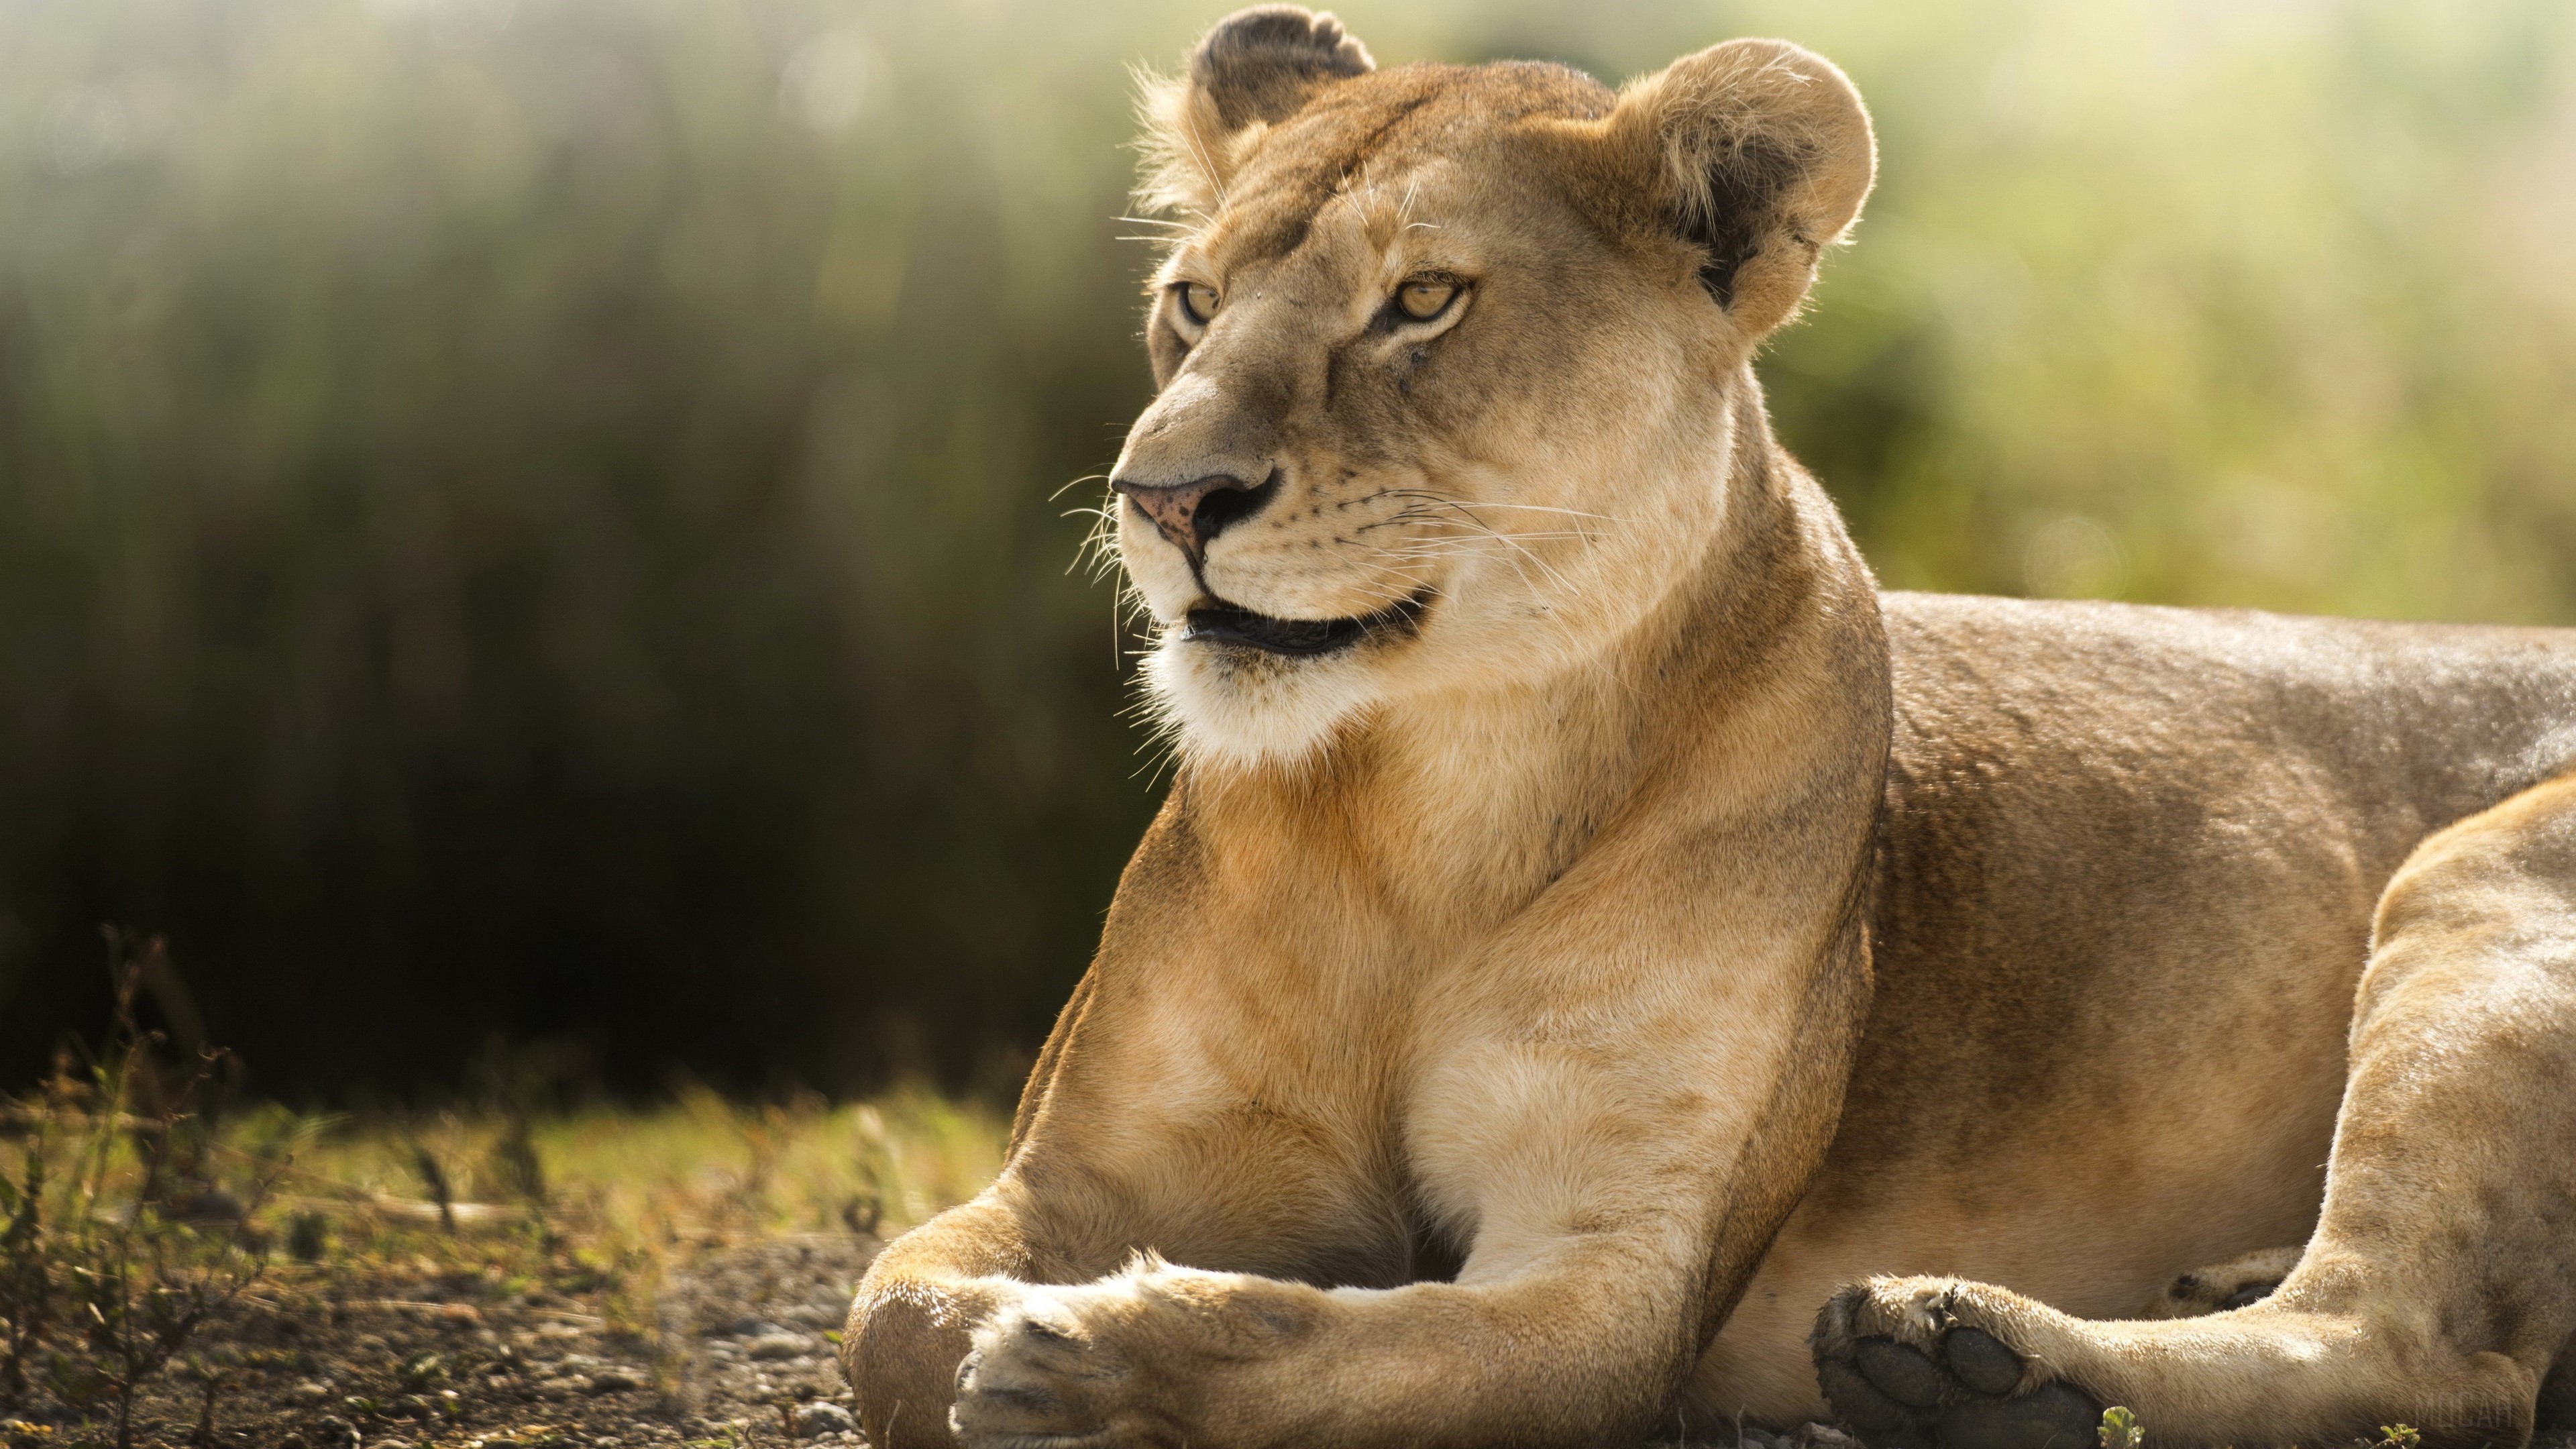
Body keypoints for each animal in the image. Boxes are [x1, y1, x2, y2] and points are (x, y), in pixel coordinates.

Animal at [839, 9, 2576, 1448]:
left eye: (1422, 300)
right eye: (1189, 302)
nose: (1160, 498)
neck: (1426, 810)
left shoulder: (1619, 1279)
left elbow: (1350, 1347)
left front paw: (1094, 1363)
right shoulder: (1076, 1172)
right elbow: (893, 1317)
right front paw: (1027, 1338)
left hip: (2477, 890)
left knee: (2421, 1353)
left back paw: (1967, 1360)